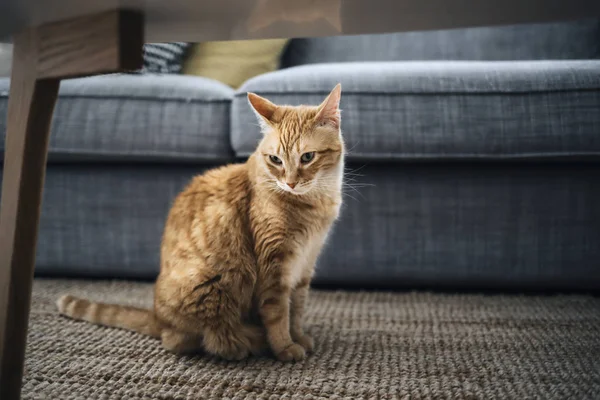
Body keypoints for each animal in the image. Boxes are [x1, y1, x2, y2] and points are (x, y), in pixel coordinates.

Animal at [58, 84, 344, 362]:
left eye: (307, 157)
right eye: (276, 160)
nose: (290, 183)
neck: (313, 204)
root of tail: (158, 317)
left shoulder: (305, 264)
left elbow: (297, 308)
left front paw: (300, 337)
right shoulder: (274, 268)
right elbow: (278, 314)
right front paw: (285, 347)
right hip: (212, 286)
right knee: (187, 340)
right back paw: (243, 344)